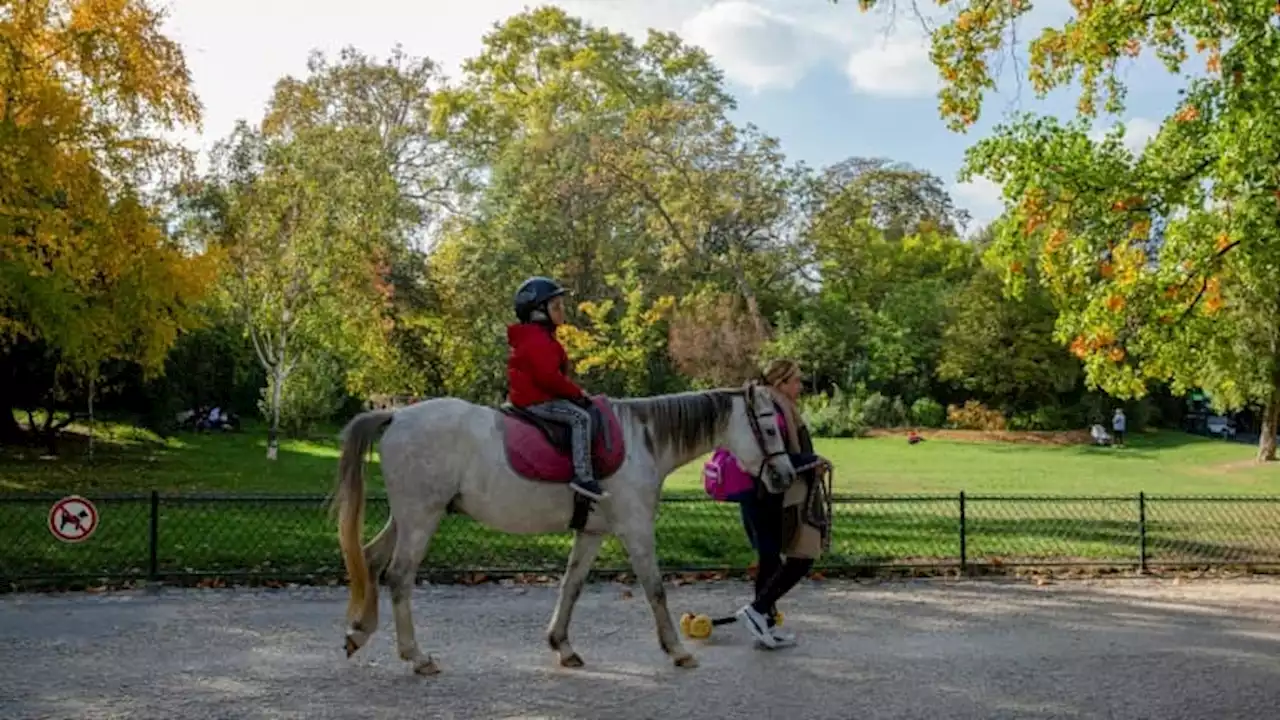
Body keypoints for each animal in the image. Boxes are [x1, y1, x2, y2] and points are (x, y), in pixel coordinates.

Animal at [330, 384, 788, 671]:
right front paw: (677, 650)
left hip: (407, 516)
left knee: (371, 560)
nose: (783, 476)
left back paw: (359, 633)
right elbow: (656, 590)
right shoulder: (636, 529)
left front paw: (562, 646)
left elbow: (571, 586)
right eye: (769, 428)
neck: (643, 441)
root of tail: (396, 415)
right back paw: (416, 655)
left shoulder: (592, 533)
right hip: (422, 517)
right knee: (399, 576)